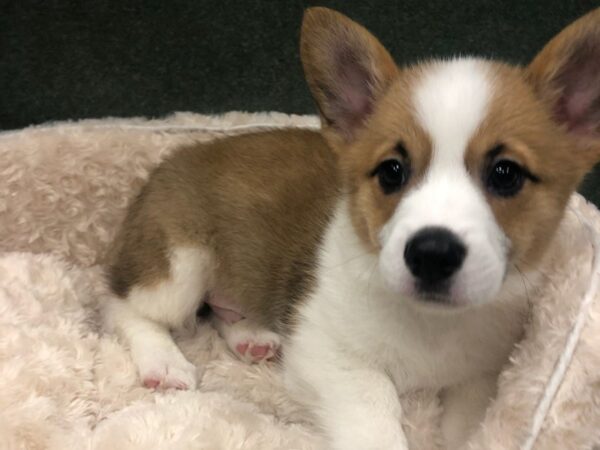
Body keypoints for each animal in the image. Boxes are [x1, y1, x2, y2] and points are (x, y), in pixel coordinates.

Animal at [104, 7, 600, 450]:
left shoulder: (479, 379)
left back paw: (250, 337)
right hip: (179, 267)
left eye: (506, 174)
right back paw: (163, 360)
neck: (430, 324)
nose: (431, 254)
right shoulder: (328, 352)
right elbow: (376, 409)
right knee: (125, 306)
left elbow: (469, 427)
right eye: (392, 171)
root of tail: (172, 159)